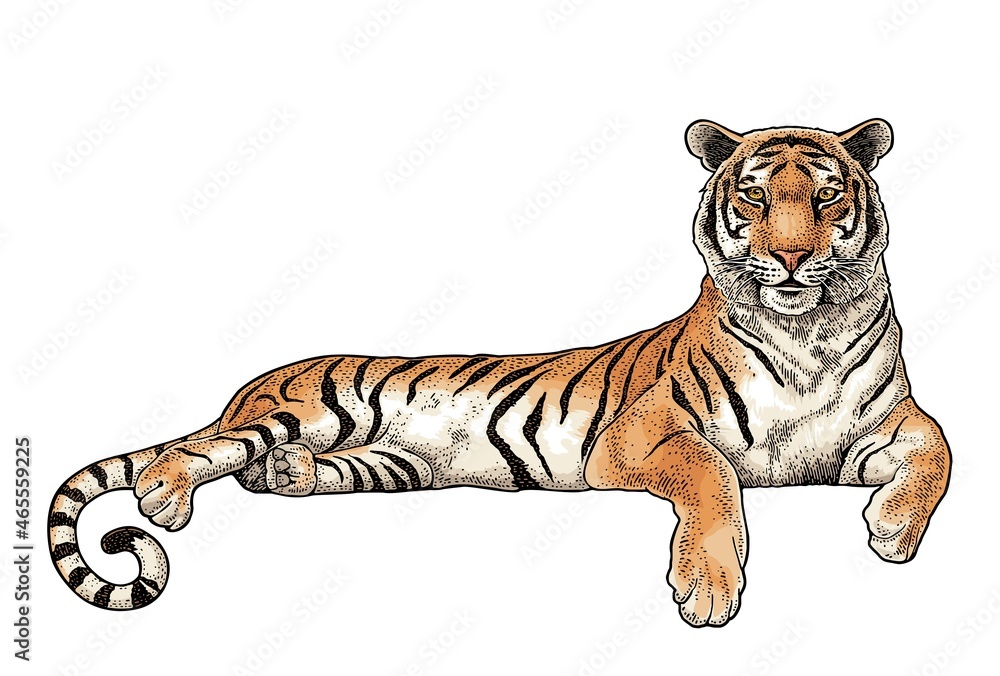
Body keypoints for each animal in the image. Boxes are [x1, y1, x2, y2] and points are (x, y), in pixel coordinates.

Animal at [49, 119, 951, 627]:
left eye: (828, 198)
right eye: (757, 199)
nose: (792, 257)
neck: (810, 335)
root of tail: (250, 385)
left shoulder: (883, 428)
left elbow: (940, 450)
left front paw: (892, 531)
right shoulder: (639, 436)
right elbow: (713, 474)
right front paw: (707, 589)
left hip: (390, 464)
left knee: (271, 473)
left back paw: (291, 474)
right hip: (312, 408)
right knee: (200, 451)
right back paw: (166, 496)